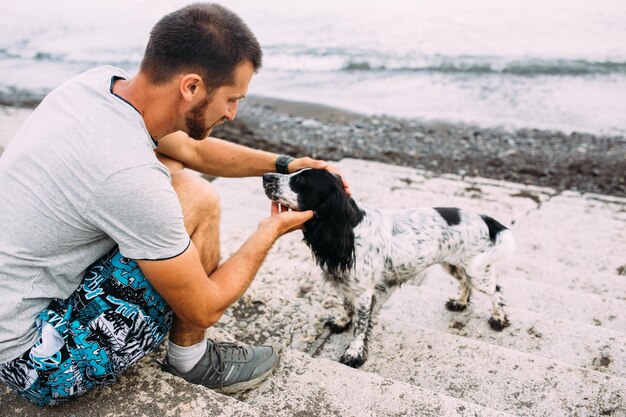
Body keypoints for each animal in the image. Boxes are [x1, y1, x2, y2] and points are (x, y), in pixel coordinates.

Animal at [260, 167, 516, 366]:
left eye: (302, 181)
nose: (265, 175)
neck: (350, 229)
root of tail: (485, 218)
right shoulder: (349, 284)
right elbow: (347, 307)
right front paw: (341, 322)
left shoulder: (364, 292)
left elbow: (360, 325)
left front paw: (354, 353)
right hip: (453, 263)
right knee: (465, 283)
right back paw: (460, 303)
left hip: (477, 270)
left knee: (495, 291)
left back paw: (499, 319)